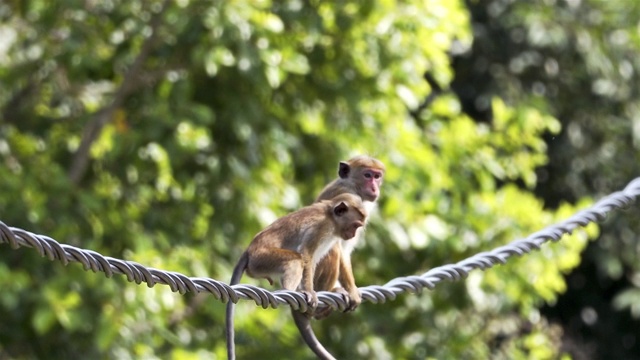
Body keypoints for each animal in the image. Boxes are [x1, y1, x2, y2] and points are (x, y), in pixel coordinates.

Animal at [226, 194, 368, 360]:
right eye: (355, 225)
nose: (353, 235)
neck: (331, 217)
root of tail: (249, 250)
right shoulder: (320, 228)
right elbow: (306, 255)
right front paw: (309, 291)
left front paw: (352, 291)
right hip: (261, 259)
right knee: (296, 260)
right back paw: (290, 291)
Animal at [292, 155, 384, 360]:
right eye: (367, 175)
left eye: (377, 176)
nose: (375, 188)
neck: (352, 185)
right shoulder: (349, 201)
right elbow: (340, 248)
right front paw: (352, 291)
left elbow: (346, 250)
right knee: (332, 249)